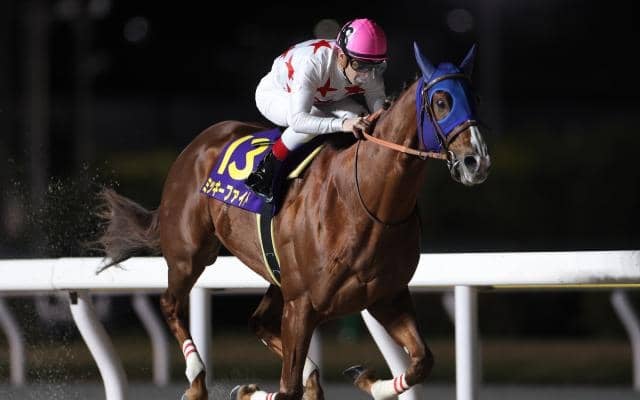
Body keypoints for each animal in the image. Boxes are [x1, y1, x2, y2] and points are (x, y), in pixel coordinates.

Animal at [95, 42, 490, 400]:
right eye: (441, 101)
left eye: (474, 98)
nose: (477, 161)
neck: (366, 201)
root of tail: (196, 145)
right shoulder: (303, 304)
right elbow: (287, 390)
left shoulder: (386, 297)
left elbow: (422, 361)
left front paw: (369, 382)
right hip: (190, 253)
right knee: (171, 305)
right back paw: (196, 379)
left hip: (277, 276)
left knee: (258, 323)